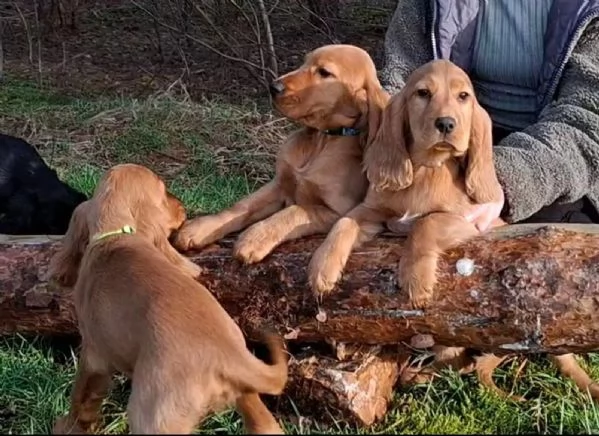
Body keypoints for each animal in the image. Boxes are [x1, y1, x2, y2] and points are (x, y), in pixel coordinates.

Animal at [49, 165, 288, 434]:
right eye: (164, 194)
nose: (183, 207)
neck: (117, 235)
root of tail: (227, 355)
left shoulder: (94, 354)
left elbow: (82, 396)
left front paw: (69, 425)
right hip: (246, 396)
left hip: (153, 415)